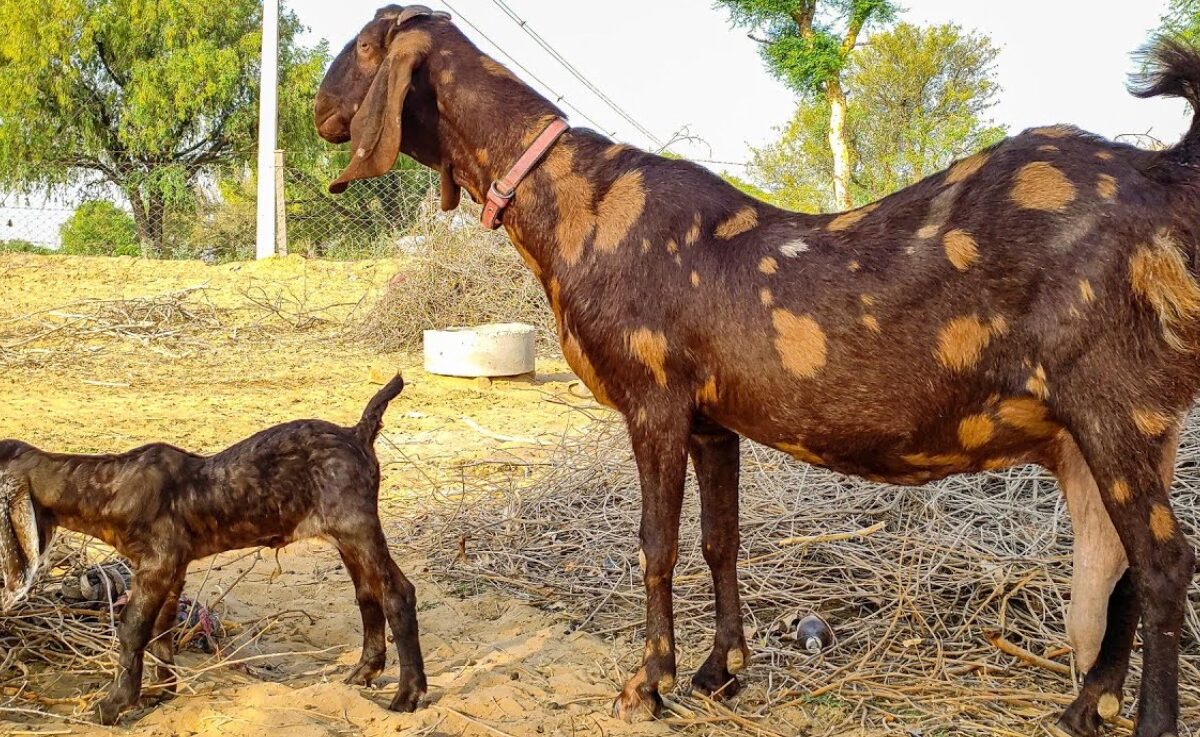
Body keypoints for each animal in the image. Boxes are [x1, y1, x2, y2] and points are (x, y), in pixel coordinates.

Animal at [314, 7, 1195, 737]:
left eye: (364, 44)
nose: (319, 107)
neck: (577, 201)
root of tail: (1163, 179)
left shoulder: (655, 401)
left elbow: (657, 543)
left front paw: (649, 682)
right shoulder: (713, 422)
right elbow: (719, 540)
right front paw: (720, 670)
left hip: (1118, 406)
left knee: (1163, 564)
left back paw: (1146, 721)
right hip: (1124, 428)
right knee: (1122, 567)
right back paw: (1085, 706)